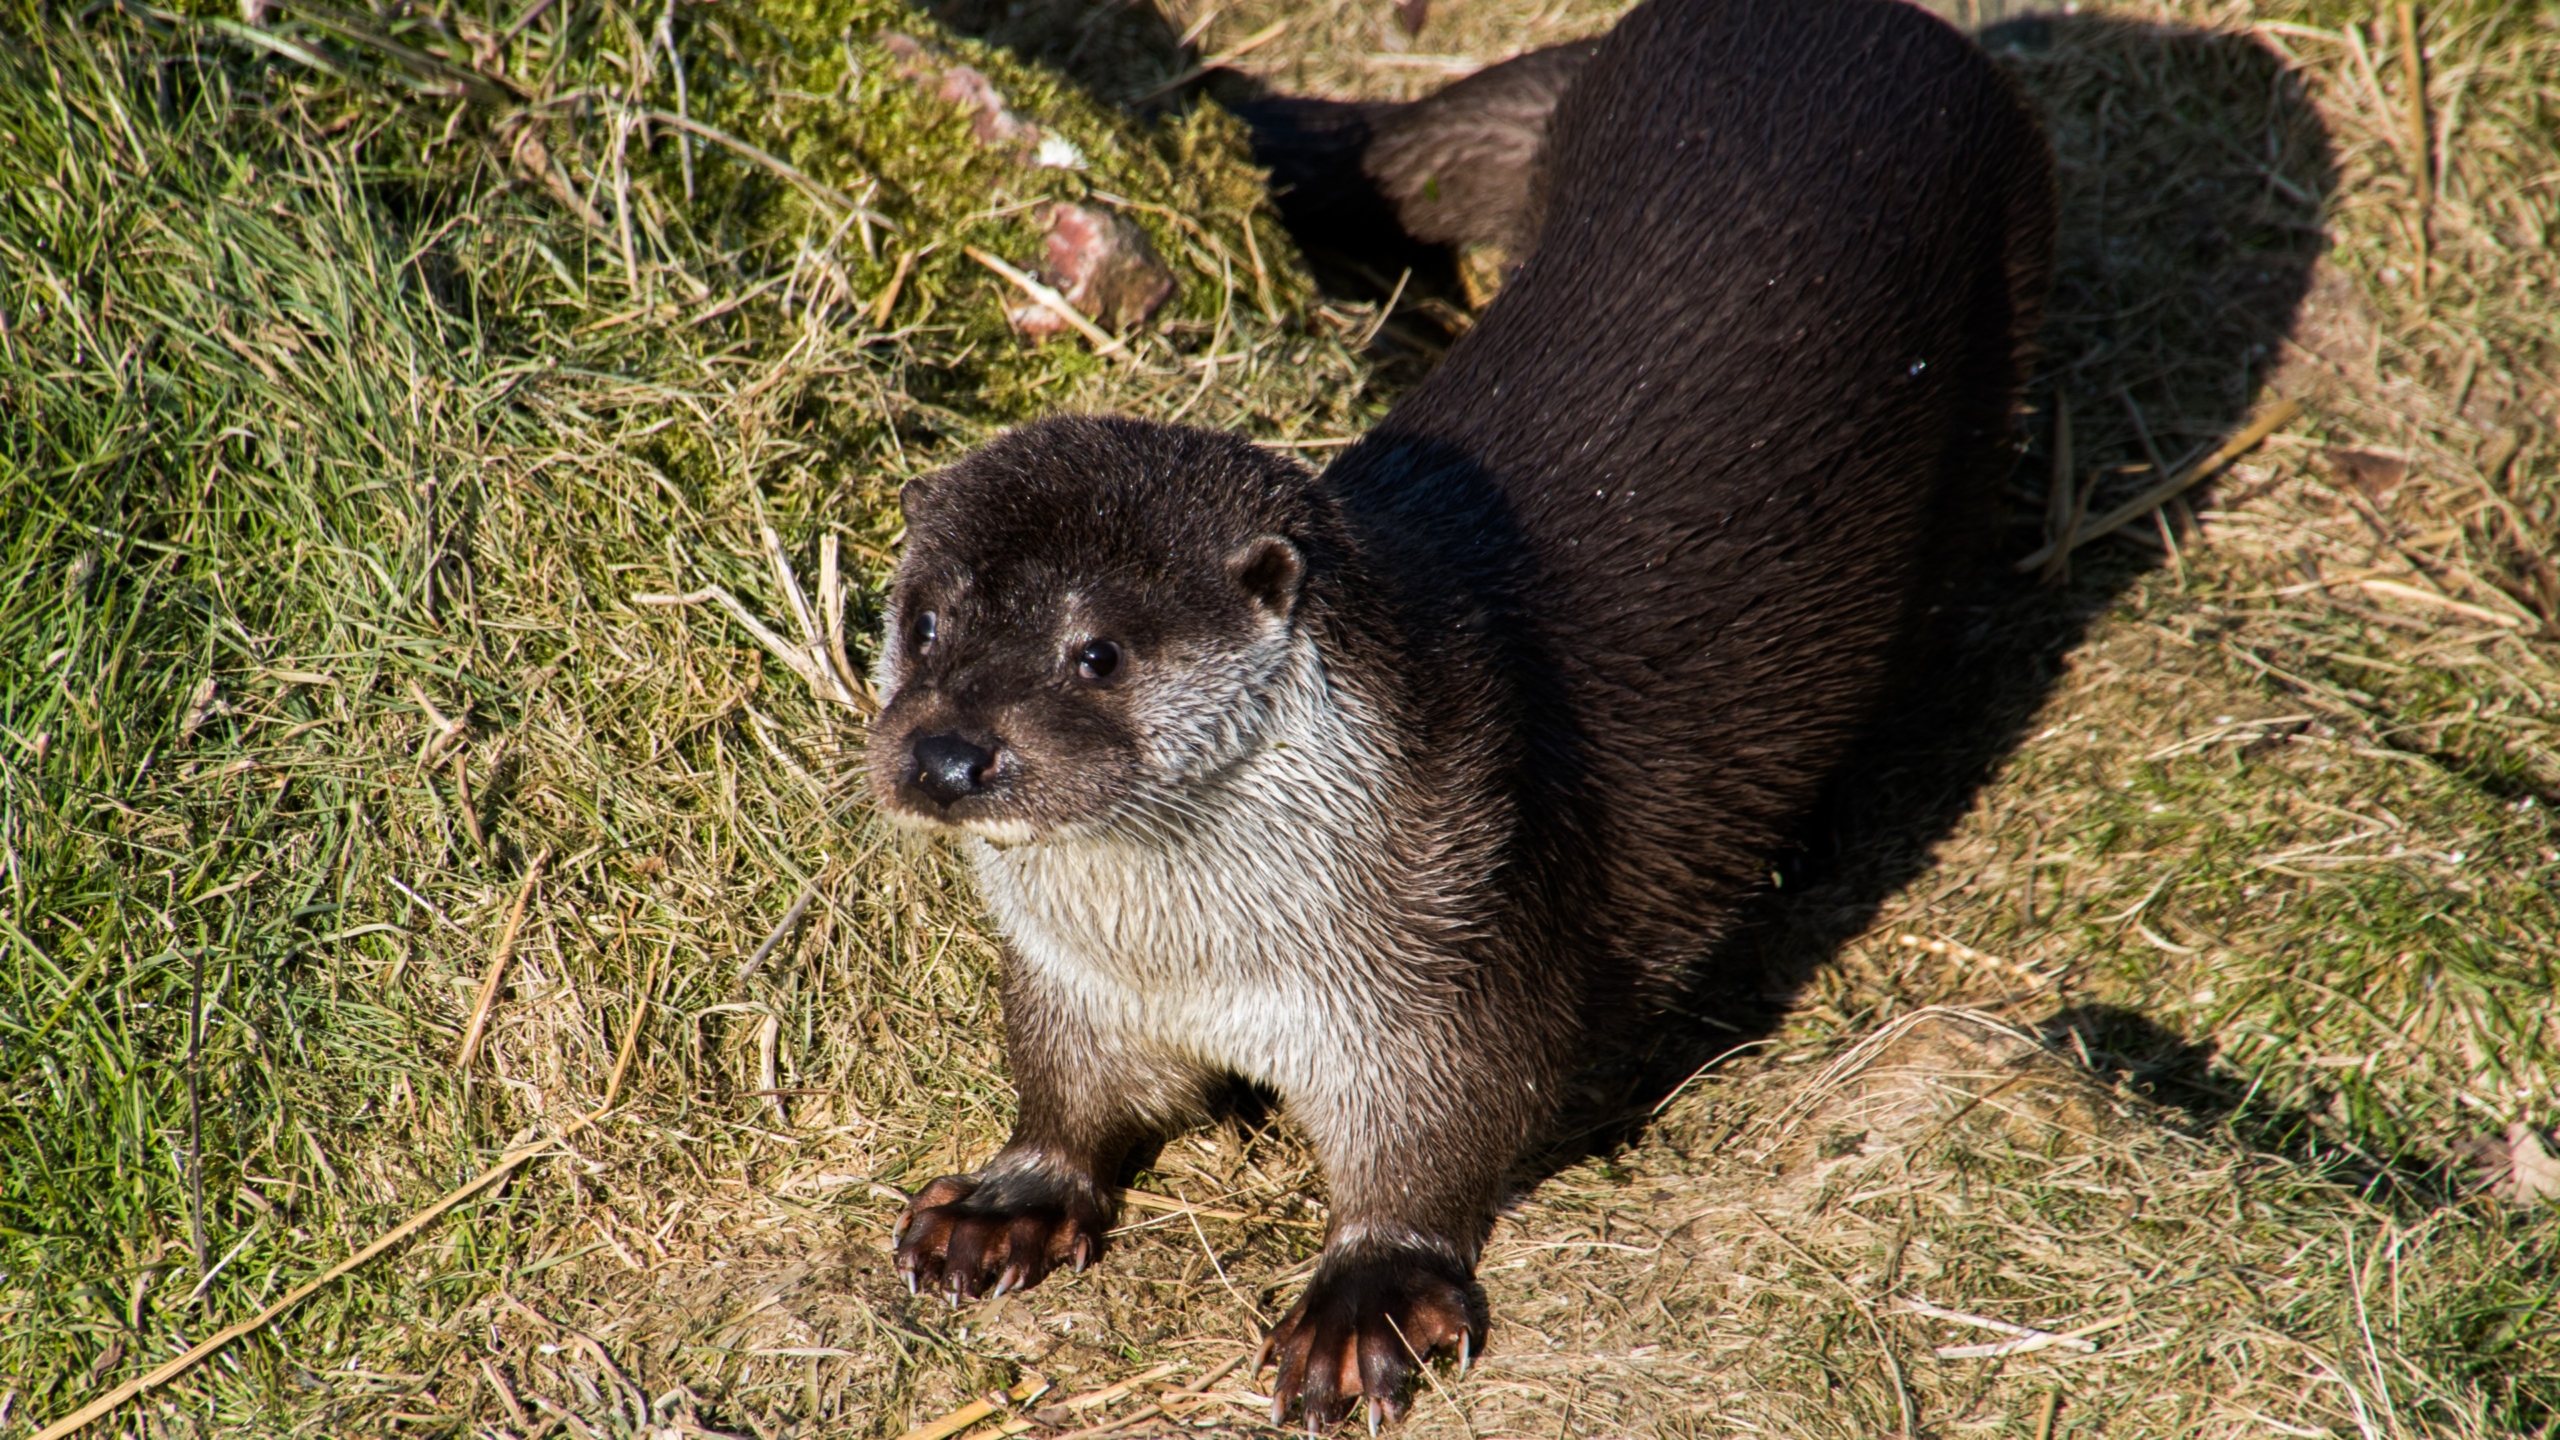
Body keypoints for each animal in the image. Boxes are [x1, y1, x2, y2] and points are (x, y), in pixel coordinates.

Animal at [870, 0, 2048, 1414]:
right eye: (921, 623)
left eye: (1095, 652)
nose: (948, 752)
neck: (1203, 961)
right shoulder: (1071, 979)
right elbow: (1064, 1092)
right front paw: (1008, 1201)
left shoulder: (1453, 944)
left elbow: (1443, 1135)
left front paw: (1365, 1300)